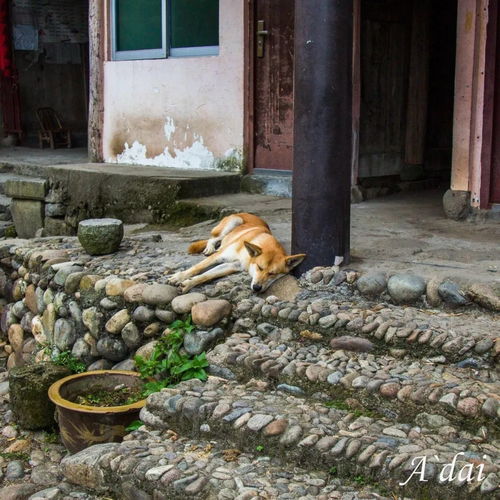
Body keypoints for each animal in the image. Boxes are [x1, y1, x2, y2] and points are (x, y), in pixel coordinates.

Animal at [170, 212, 306, 292]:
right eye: (260, 267)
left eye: (272, 274)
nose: (257, 288)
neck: (248, 258)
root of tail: (249, 213)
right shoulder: (219, 257)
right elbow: (196, 268)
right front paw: (179, 277)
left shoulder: (232, 266)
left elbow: (206, 275)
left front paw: (188, 284)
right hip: (234, 221)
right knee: (212, 238)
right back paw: (210, 248)